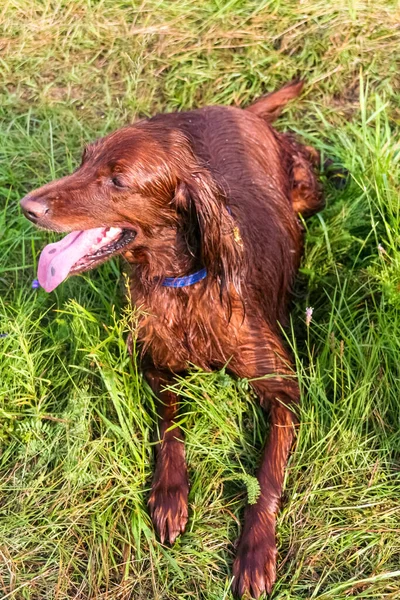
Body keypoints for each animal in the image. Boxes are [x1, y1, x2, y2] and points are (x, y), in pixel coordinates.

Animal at [20, 81, 324, 600]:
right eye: (82, 161)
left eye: (118, 180)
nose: (27, 207)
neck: (183, 287)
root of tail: (240, 111)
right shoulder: (154, 363)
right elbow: (169, 425)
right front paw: (169, 497)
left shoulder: (285, 389)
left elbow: (266, 475)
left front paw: (255, 551)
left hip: (307, 189)